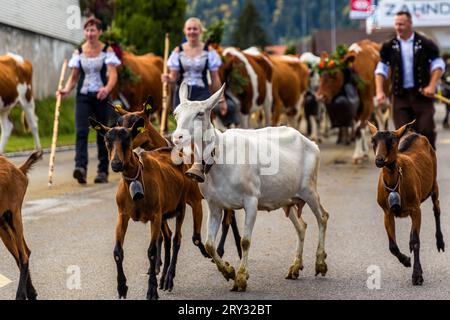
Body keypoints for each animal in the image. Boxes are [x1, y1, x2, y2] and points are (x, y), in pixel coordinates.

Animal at [0, 151, 42, 300]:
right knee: (22, 254)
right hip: (3, 225)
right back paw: (31, 293)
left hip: (14, 216)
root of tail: (19, 169)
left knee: (24, 256)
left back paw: (21, 295)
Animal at [111, 98, 243, 260]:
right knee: (231, 216)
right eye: (118, 122)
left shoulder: (192, 200)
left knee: (227, 219)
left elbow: (190, 236)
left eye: (138, 124)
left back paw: (221, 250)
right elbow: (163, 236)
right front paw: (158, 264)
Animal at [171, 83, 328, 292]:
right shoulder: (214, 205)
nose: (177, 137)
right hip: (287, 198)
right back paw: (295, 267)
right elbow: (210, 244)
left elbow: (245, 241)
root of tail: (310, 143)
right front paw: (228, 271)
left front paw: (241, 278)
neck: (220, 158)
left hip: (309, 190)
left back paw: (320, 263)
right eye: (176, 113)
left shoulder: (251, 200)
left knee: (323, 218)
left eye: (200, 113)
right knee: (302, 226)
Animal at [370, 120, 442, 284]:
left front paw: (417, 275)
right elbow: (392, 246)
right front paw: (406, 261)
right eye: (373, 141)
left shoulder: (416, 209)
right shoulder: (387, 212)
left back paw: (440, 242)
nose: (379, 160)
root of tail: (415, 134)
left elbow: (416, 241)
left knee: (436, 209)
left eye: (392, 141)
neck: (395, 185)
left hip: (433, 184)